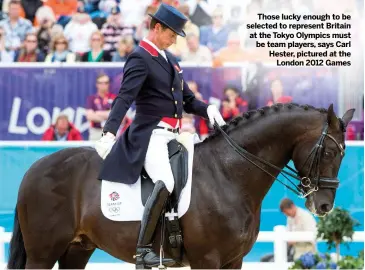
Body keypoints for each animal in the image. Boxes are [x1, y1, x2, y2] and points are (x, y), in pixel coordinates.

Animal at [7, 103, 352, 268]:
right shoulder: (207, 260)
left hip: (77, 249)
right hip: (43, 253)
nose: (324, 205)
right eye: (330, 152)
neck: (228, 174)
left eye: (344, 153)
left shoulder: (234, 261)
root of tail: (34, 169)